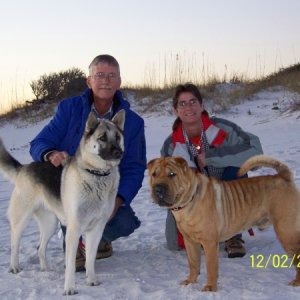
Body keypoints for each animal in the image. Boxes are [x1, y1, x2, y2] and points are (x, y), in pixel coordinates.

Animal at [0, 109, 125, 294]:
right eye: (102, 138)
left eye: (117, 137)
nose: (118, 153)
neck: (96, 175)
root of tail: (24, 168)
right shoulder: (74, 230)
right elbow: (71, 265)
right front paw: (69, 288)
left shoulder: (96, 230)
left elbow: (90, 259)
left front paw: (91, 280)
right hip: (21, 220)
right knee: (15, 244)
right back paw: (14, 266)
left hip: (50, 224)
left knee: (40, 248)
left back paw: (45, 269)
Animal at [148, 156, 300, 292]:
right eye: (154, 174)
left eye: (172, 174)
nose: (158, 188)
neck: (188, 202)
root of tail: (283, 176)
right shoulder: (190, 241)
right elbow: (193, 263)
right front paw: (190, 281)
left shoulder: (209, 242)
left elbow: (210, 266)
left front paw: (210, 287)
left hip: (285, 231)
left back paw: (296, 282)